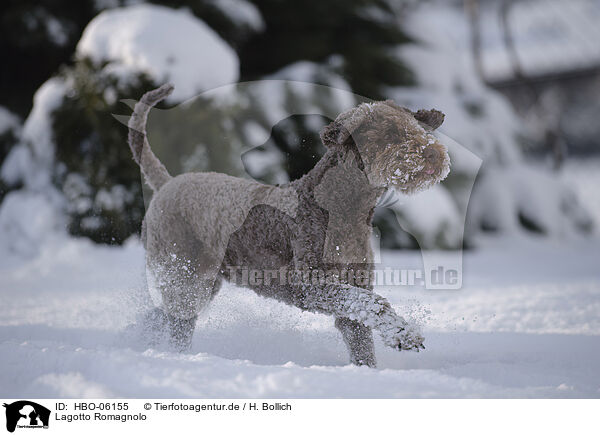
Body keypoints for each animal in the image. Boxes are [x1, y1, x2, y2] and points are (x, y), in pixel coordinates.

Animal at [129, 82, 452, 368]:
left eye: (417, 129)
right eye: (389, 133)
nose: (432, 153)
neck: (342, 210)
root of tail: (167, 183)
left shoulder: (353, 286)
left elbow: (362, 338)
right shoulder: (309, 285)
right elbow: (370, 303)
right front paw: (404, 334)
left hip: (202, 283)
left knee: (162, 316)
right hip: (182, 275)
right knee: (175, 321)